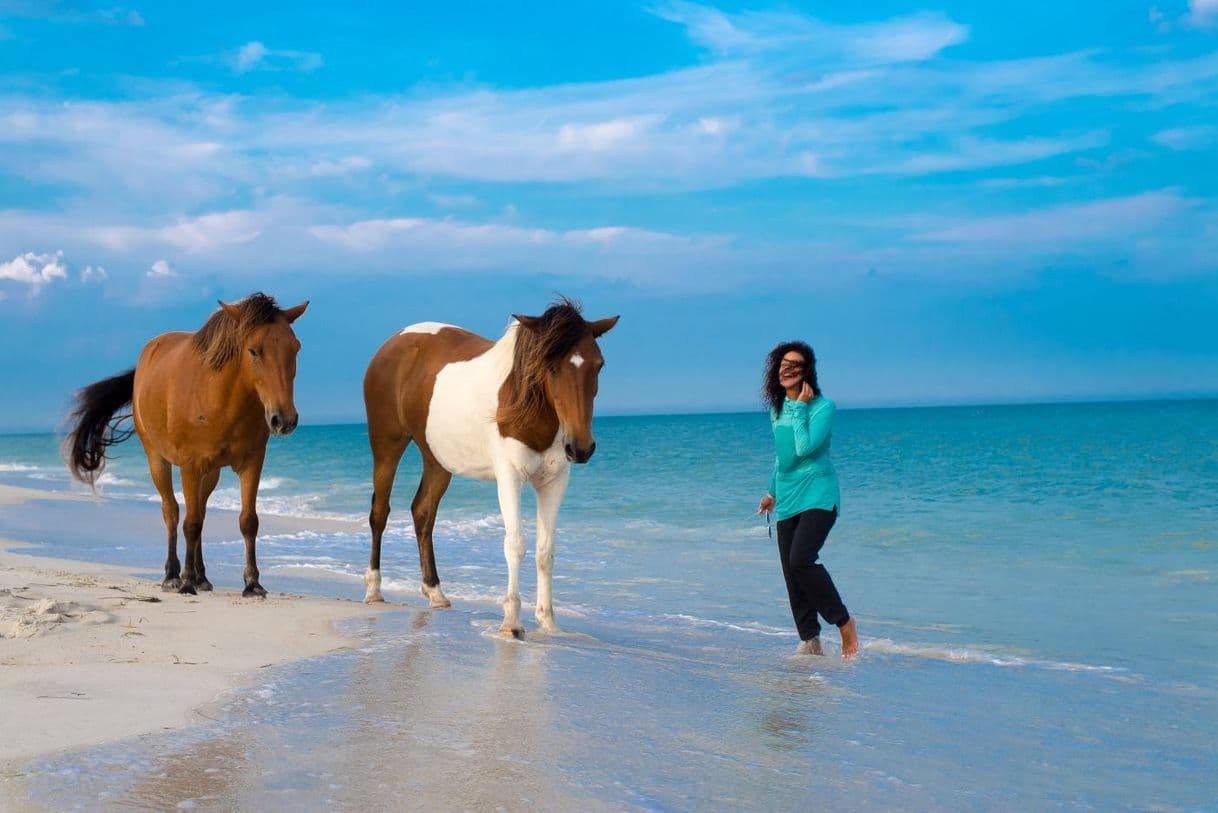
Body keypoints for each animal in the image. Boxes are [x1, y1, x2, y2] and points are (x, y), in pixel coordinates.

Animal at [64, 292, 309, 597]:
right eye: (254, 351)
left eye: (295, 348)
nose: (284, 419)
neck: (221, 399)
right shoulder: (190, 466)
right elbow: (190, 523)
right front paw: (187, 581)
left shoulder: (252, 462)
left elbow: (247, 521)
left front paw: (252, 583)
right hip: (158, 461)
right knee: (172, 512)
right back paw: (172, 575)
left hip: (211, 473)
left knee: (200, 512)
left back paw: (202, 576)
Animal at [355, 296, 613, 638]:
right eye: (553, 366)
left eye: (599, 365)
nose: (581, 447)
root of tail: (392, 342)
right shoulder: (509, 477)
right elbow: (516, 544)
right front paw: (512, 622)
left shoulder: (554, 481)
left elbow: (546, 551)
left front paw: (548, 623)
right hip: (387, 445)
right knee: (379, 512)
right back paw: (373, 590)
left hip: (437, 458)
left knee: (423, 512)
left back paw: (435, 592)